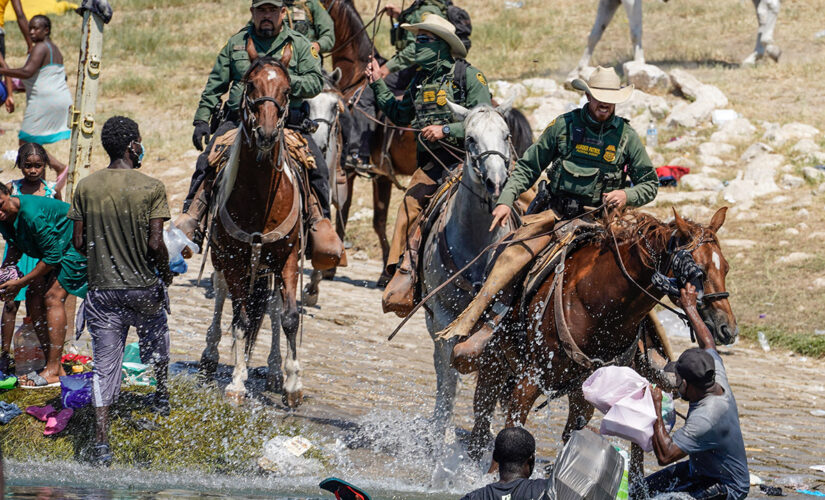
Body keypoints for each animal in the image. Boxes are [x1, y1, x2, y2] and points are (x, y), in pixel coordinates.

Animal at [201, 40, 304, 406]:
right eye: (250, 85)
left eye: (287, 90)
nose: (267, 133)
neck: (260, 200)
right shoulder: (233, 262)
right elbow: (242, 319)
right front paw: (237, 382)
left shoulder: (288, 257)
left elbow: (289, 317)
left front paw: (293, 383)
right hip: (223, 260)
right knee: (220, 297)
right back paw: (210, 357)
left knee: (271, 308)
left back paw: (274, 370)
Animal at [466, 207, 736, 458]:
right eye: (699, 271)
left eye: (726, 268)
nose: (728, 328)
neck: (598, 304)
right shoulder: (530, 380)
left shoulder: (583, 392)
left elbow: (571, 437)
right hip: (492, 363)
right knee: (480, 424)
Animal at [576, 0, 776, 70]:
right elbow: (595, 33)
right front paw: (578, 71)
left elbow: (635, 31)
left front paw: (639, 64)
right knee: (761, 12)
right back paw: (755, 56)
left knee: (769, 7)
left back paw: (769, 46)